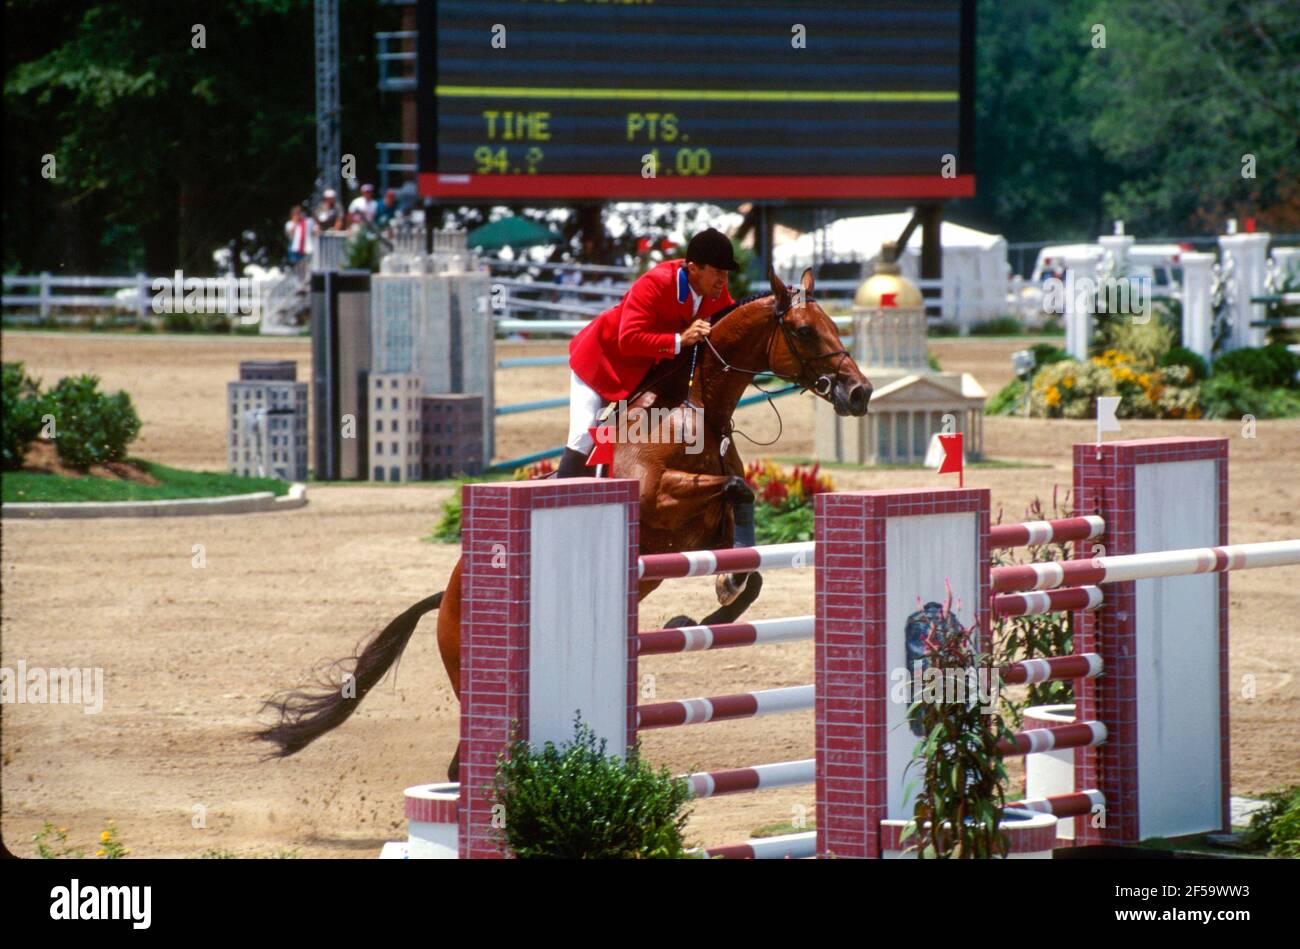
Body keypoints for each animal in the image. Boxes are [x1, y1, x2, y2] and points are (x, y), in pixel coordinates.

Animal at [257, 263, 868, 774]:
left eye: (833, 324)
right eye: (805, 331)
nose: (859, 393)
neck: (693, 409)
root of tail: (446, 596)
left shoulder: (702, 527)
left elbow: (750, 544)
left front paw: (709, 604)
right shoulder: (659, 503)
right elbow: (737, 490)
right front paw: (708, 600)